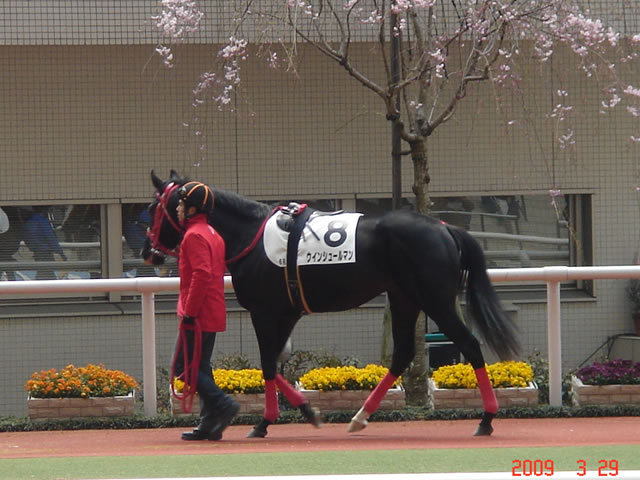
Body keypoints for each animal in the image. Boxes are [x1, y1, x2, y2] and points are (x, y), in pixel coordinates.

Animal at [143, 170, 520, 438]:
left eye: (152, 209)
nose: (148, 252)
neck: (250, 236)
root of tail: (444, 227)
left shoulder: (265, 312)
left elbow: (266, 365)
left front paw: (266, 422)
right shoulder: (287, 314)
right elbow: (274, 364)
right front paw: (305, 411)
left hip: (435, 299)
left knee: (469, 344)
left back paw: (486, 418)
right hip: (404, 297)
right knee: (402, 353)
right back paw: (360, 417)